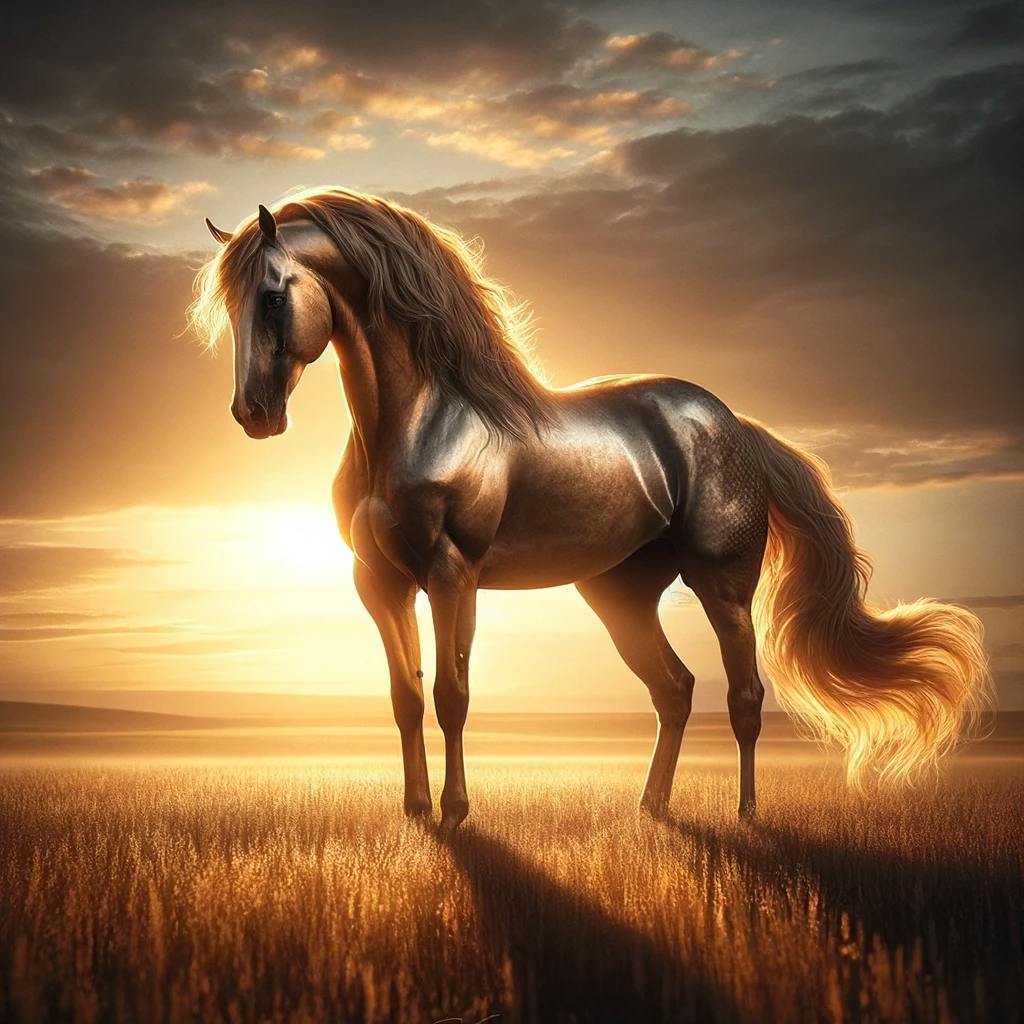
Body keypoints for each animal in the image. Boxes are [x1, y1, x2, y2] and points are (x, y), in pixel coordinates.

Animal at [191, 188, 992, 834]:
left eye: (271, 295)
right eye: (229, 305)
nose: (253, 414)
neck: (419, 421)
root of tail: (733, 423)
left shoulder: (453, 575)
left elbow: (452, 694)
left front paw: (455, 812)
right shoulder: (378, 583)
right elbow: (404, 697)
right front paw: (415, 811)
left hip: (723, 587)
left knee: (743, 695)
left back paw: (746, 813)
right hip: (619, 594)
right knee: (675, 690)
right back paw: (652, 807)